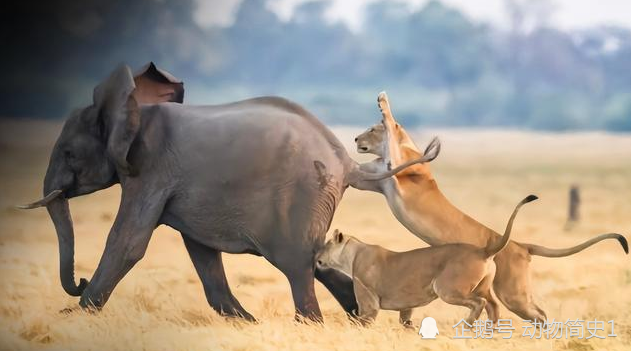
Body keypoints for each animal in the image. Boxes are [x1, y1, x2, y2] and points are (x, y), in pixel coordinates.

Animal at [19, 62, 440, 322]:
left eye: (69, 153)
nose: (79, 282)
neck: (134, 107)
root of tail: (345, 162)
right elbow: (201, 250)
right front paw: (245, 322)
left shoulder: (149, 170)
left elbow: (128, 241)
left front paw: (73, 317)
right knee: (316, 261)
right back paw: (356, 320)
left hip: (301, 198)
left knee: (299, 263)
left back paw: (311, 324)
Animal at [316, 195, 540, 328]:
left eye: (325, 245)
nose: (316, 257)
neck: (352, 253)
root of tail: (483, 249)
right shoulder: (406, 306)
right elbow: (405, 321)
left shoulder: (368, 302)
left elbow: (363, 322)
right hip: (482, 286)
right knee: (493, 305)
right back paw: (490, 331)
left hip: (446, 288)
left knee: (480, 303)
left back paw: (466, 326)